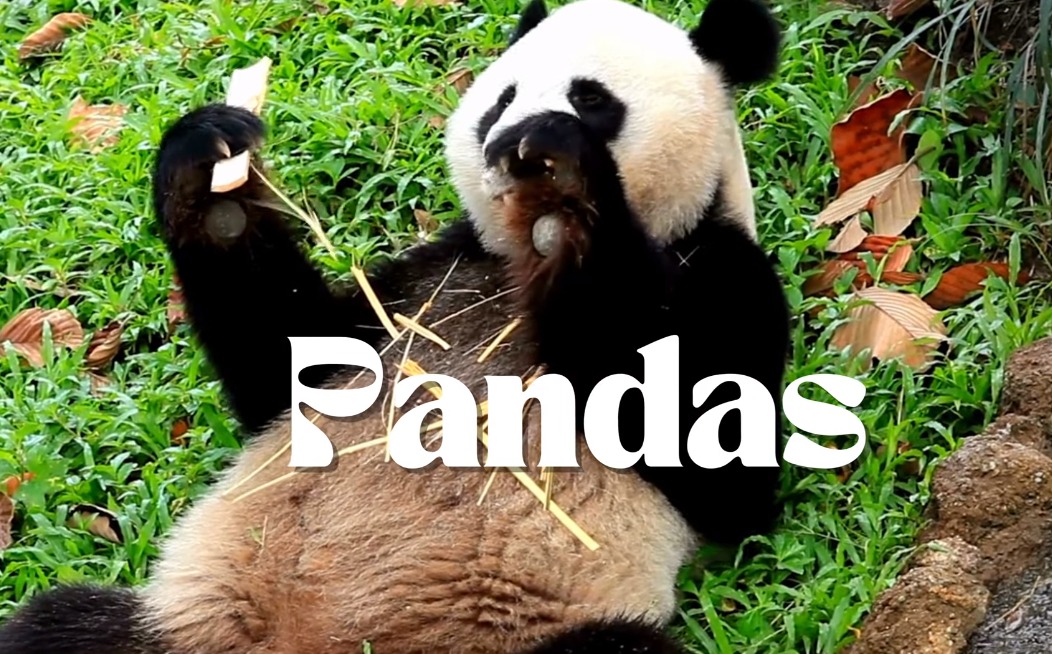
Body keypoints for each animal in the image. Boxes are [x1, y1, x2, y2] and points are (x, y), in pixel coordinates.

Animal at [0, 0, 790, 652]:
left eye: (592, 101)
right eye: (501, 99)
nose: (505, 143)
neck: (511, 259)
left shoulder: (720, 268)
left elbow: (719, 471)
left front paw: (565, 183)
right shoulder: (428, 278)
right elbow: (288, 366)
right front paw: (208, 167)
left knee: (616, 650)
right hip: (191, 626)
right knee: (56, 627)